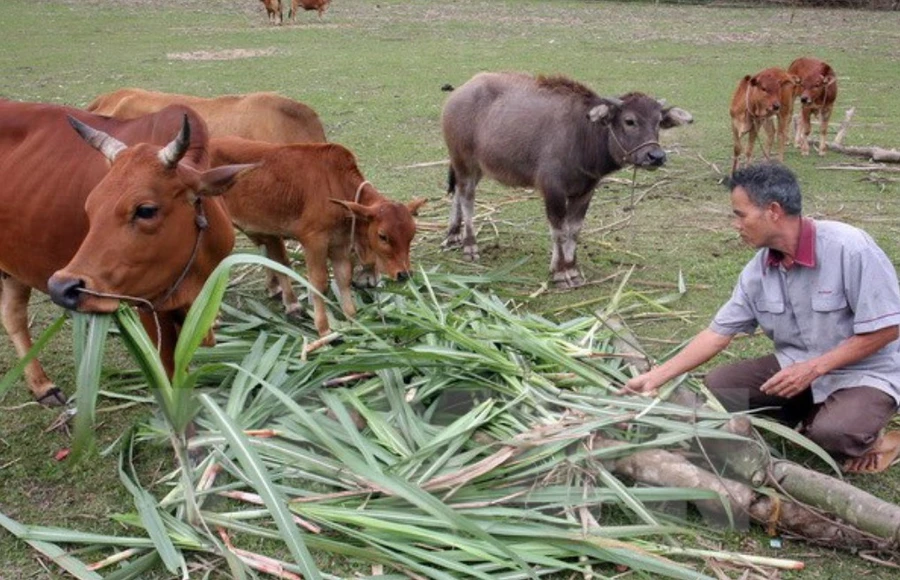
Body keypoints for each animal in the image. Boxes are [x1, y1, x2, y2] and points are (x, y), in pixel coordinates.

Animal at [0, 99, 250, 406]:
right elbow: (168, 373)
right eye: (90, 206)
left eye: (146, 210)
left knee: (12, 315)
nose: (61, 287)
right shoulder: (149, 306)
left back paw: (41, 385)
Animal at [209, 136, 428, 336]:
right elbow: (318, 283)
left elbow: (343, 278)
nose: (404, 274)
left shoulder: (339, 243)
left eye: (412, 234)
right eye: (383, 236)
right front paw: (324, 330)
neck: (335, 186)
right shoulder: (314, 242)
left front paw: (354, 321)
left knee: (276, 259)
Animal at [440, 71, 692, 288]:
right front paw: (561, 273)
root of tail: (459, 93)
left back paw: (453, 236)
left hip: (475, 166)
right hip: (463, 159)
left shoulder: (586, 190)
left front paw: (572, 269)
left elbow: (574, 230)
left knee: (458, 193)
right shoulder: (553, 190)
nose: (656, 156)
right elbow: (558, 230)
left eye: (658, 122)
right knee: (467, 198)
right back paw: (470, 246)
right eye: (630, 121)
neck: (583, 134)